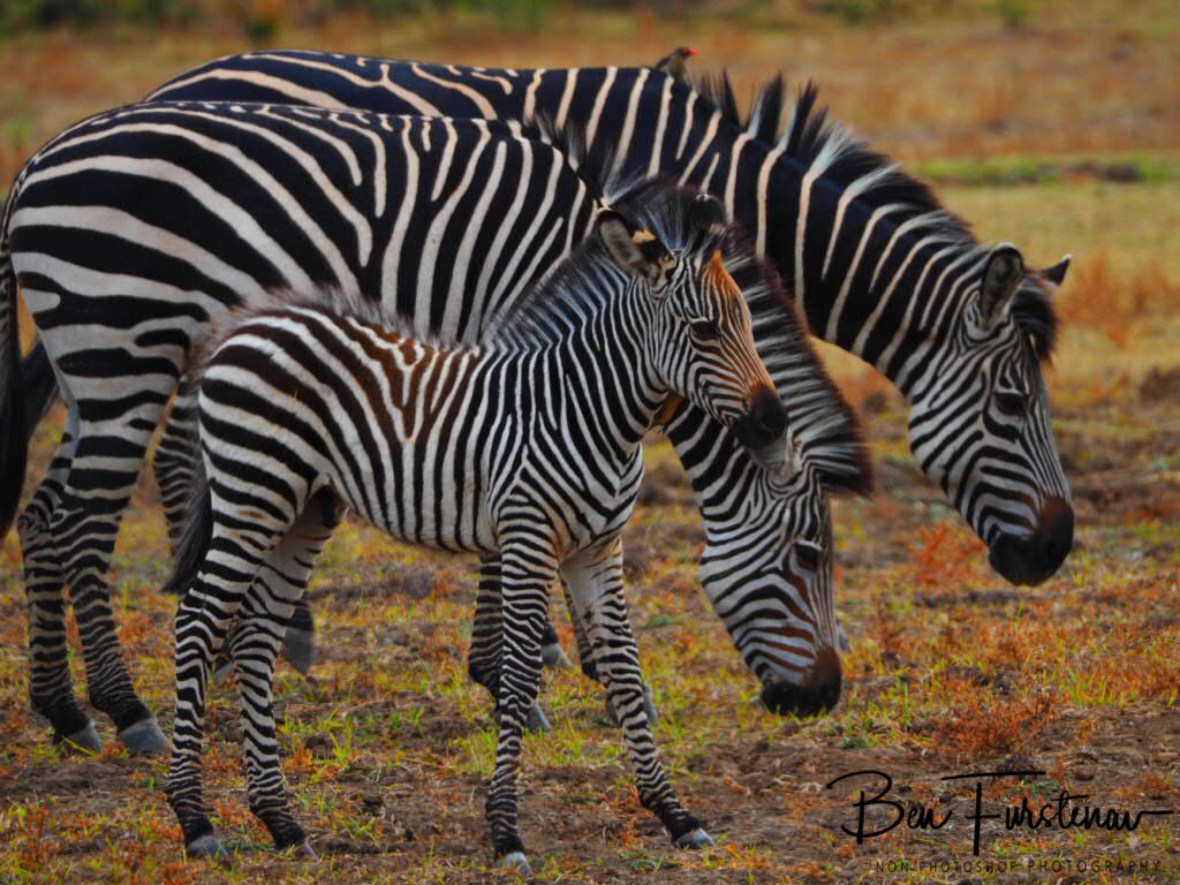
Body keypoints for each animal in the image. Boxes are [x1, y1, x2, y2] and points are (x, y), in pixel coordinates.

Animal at [0, 101, 868, 755]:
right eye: (808, 555)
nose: (825, 697)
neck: (585, 253)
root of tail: (36, 162)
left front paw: (582, 663)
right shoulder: (517, 348)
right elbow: (505, 507)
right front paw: (515, 674)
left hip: (91, 367)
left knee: (44, 514)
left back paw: (66, 711)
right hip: (121, 353)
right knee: (83, 525)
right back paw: (127, 709)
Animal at [165, 186, 779, 869]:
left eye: (747, 325)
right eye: (704, 330)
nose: (773, 424)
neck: (587, 409)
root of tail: (246, 327)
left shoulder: (598, 548)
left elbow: (625, 668)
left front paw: (675, 815)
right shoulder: (527, 539)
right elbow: (518, 673)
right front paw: (505, 832)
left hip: (306, 510)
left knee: (255, 638)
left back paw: (282, 823)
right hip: (253, 494)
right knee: (197, 622)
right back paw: (196, 822)